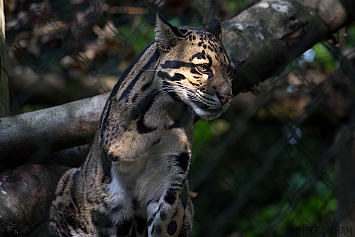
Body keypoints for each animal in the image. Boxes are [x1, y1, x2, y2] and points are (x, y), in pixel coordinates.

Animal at [49, 13, 234, 237]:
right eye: (203, 67)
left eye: (229, 72)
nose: (226, 96)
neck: (159, 120)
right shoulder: (116, 193)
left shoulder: (170, 182)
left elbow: (165, 227)